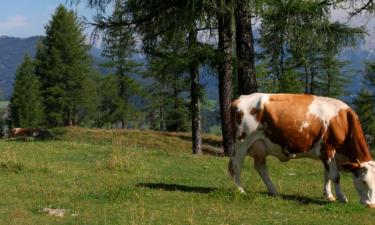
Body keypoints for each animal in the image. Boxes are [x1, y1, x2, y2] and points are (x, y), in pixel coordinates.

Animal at [228, 93, 375, 207]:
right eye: (363, 181)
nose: (370, 206)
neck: (342, 120)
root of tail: (239, 99)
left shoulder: (331, 155)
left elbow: (327, 175)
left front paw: (329, 195)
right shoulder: (327, 149)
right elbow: (335, 176)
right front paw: (342, 198)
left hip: (260, 146)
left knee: (260, 168)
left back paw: (274, 191)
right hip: (241, 142)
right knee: (236, 165)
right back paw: (240, 190)